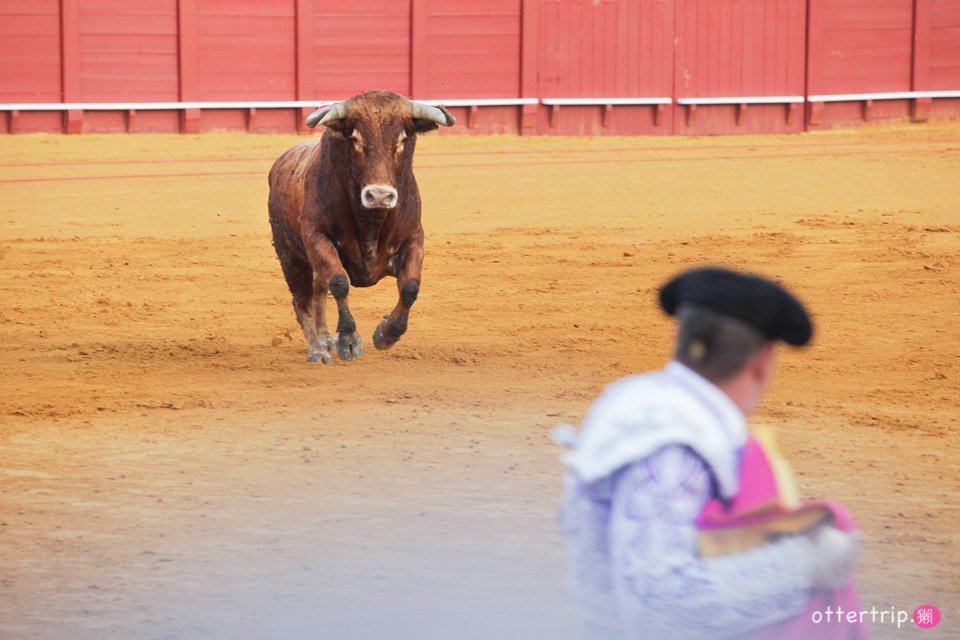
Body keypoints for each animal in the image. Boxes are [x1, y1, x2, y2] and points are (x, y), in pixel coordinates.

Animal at [266, 90, 454, 362]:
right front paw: (349, 340)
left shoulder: (414, 238)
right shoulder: (317, 237)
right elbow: (339, 282)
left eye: (402, 139)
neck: (371, 222)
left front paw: (387, 334)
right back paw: (317, 349)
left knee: (318, 290)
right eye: (355, 139)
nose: (379, 195)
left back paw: (325, 339)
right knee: (302, 299)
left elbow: (410, 287)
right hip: (289, 254)